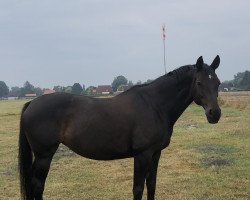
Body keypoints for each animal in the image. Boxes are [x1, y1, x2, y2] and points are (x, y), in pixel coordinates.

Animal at [18, 55, 222, 200]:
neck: (155, 105)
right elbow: (138, 189)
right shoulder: (142, 155)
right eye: (199, 83)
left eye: (218, 83)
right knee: (37, 185)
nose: (215, 114)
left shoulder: (155, 154)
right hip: (44, 155)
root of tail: (31, 103)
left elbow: (152, 185)